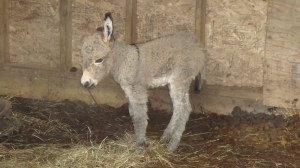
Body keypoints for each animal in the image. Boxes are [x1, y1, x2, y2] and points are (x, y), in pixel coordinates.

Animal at [81, 13, 205, 152]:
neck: (124, 59)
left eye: (99, 60)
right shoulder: (129, 91)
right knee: (178, 108)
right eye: (83, 58)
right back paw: (166, 137)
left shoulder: (137, 90)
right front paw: (140, 140)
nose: (84, 83)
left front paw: (140, 144)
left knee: (184, 108)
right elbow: (133, 114)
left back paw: (173, 145)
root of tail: (198, 47)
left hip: (180, 79)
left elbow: (140, 116)